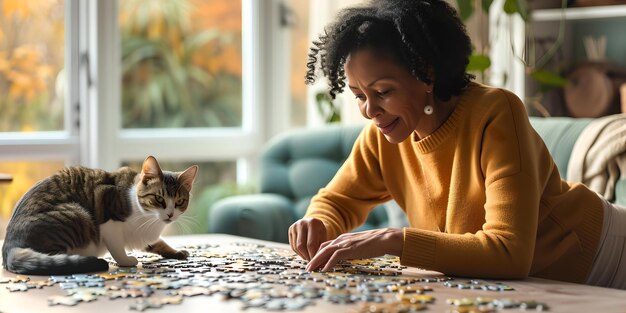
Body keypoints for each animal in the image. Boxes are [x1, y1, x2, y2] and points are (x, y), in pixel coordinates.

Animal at [1, 156, 196, 272]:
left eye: (179, 202)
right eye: (159, 198)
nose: (170, 215)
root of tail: (9, 247)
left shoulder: (143, 235)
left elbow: (158, 243)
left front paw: (176, 251)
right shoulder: (109, 215)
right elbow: (117, 247)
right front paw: (125, 260)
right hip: (77, 215)